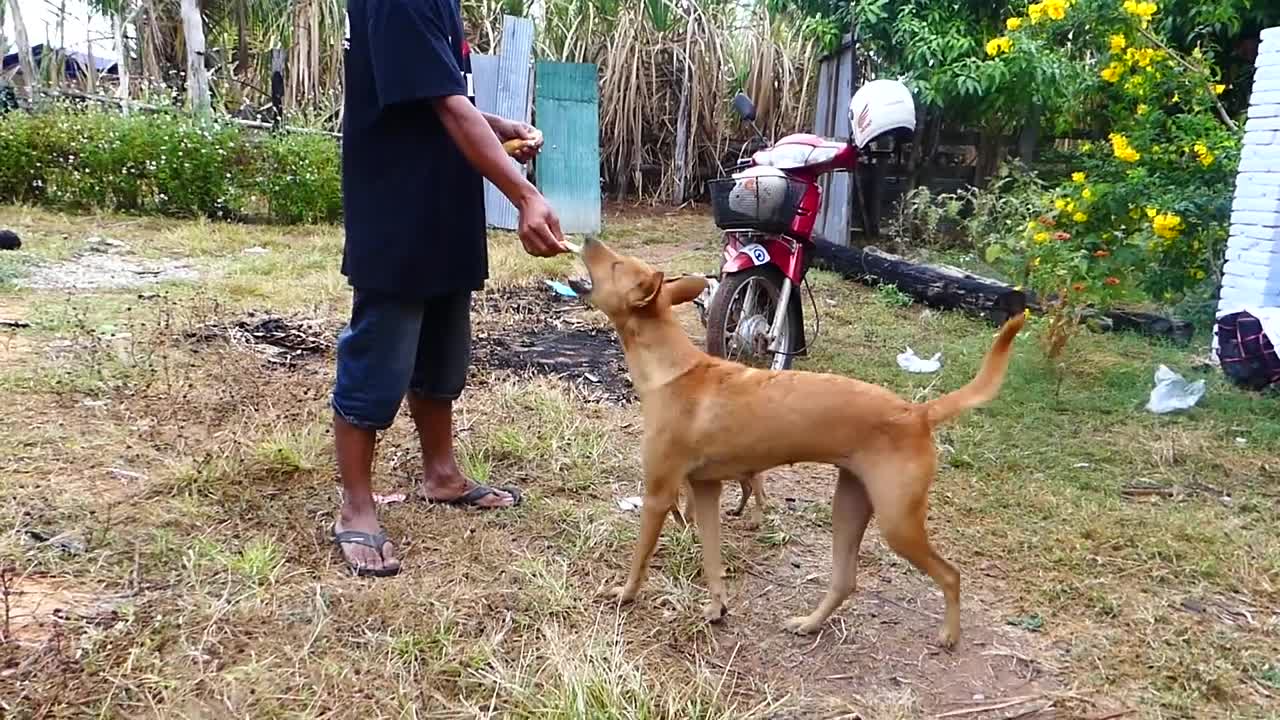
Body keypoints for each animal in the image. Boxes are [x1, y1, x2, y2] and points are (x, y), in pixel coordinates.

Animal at [565, 235, 1024, 645]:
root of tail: (918, 413)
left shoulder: (659, 494)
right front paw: (716, 609)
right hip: (850, 504)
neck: (672, 369)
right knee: (846, 580)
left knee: (950, 574)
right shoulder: (706, 490)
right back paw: (810, 624)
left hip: (898, 522)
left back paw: (949, 635)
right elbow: (713, 562)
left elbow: (639, 559)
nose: (587, 238)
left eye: (616, 265)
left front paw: (624, 595)